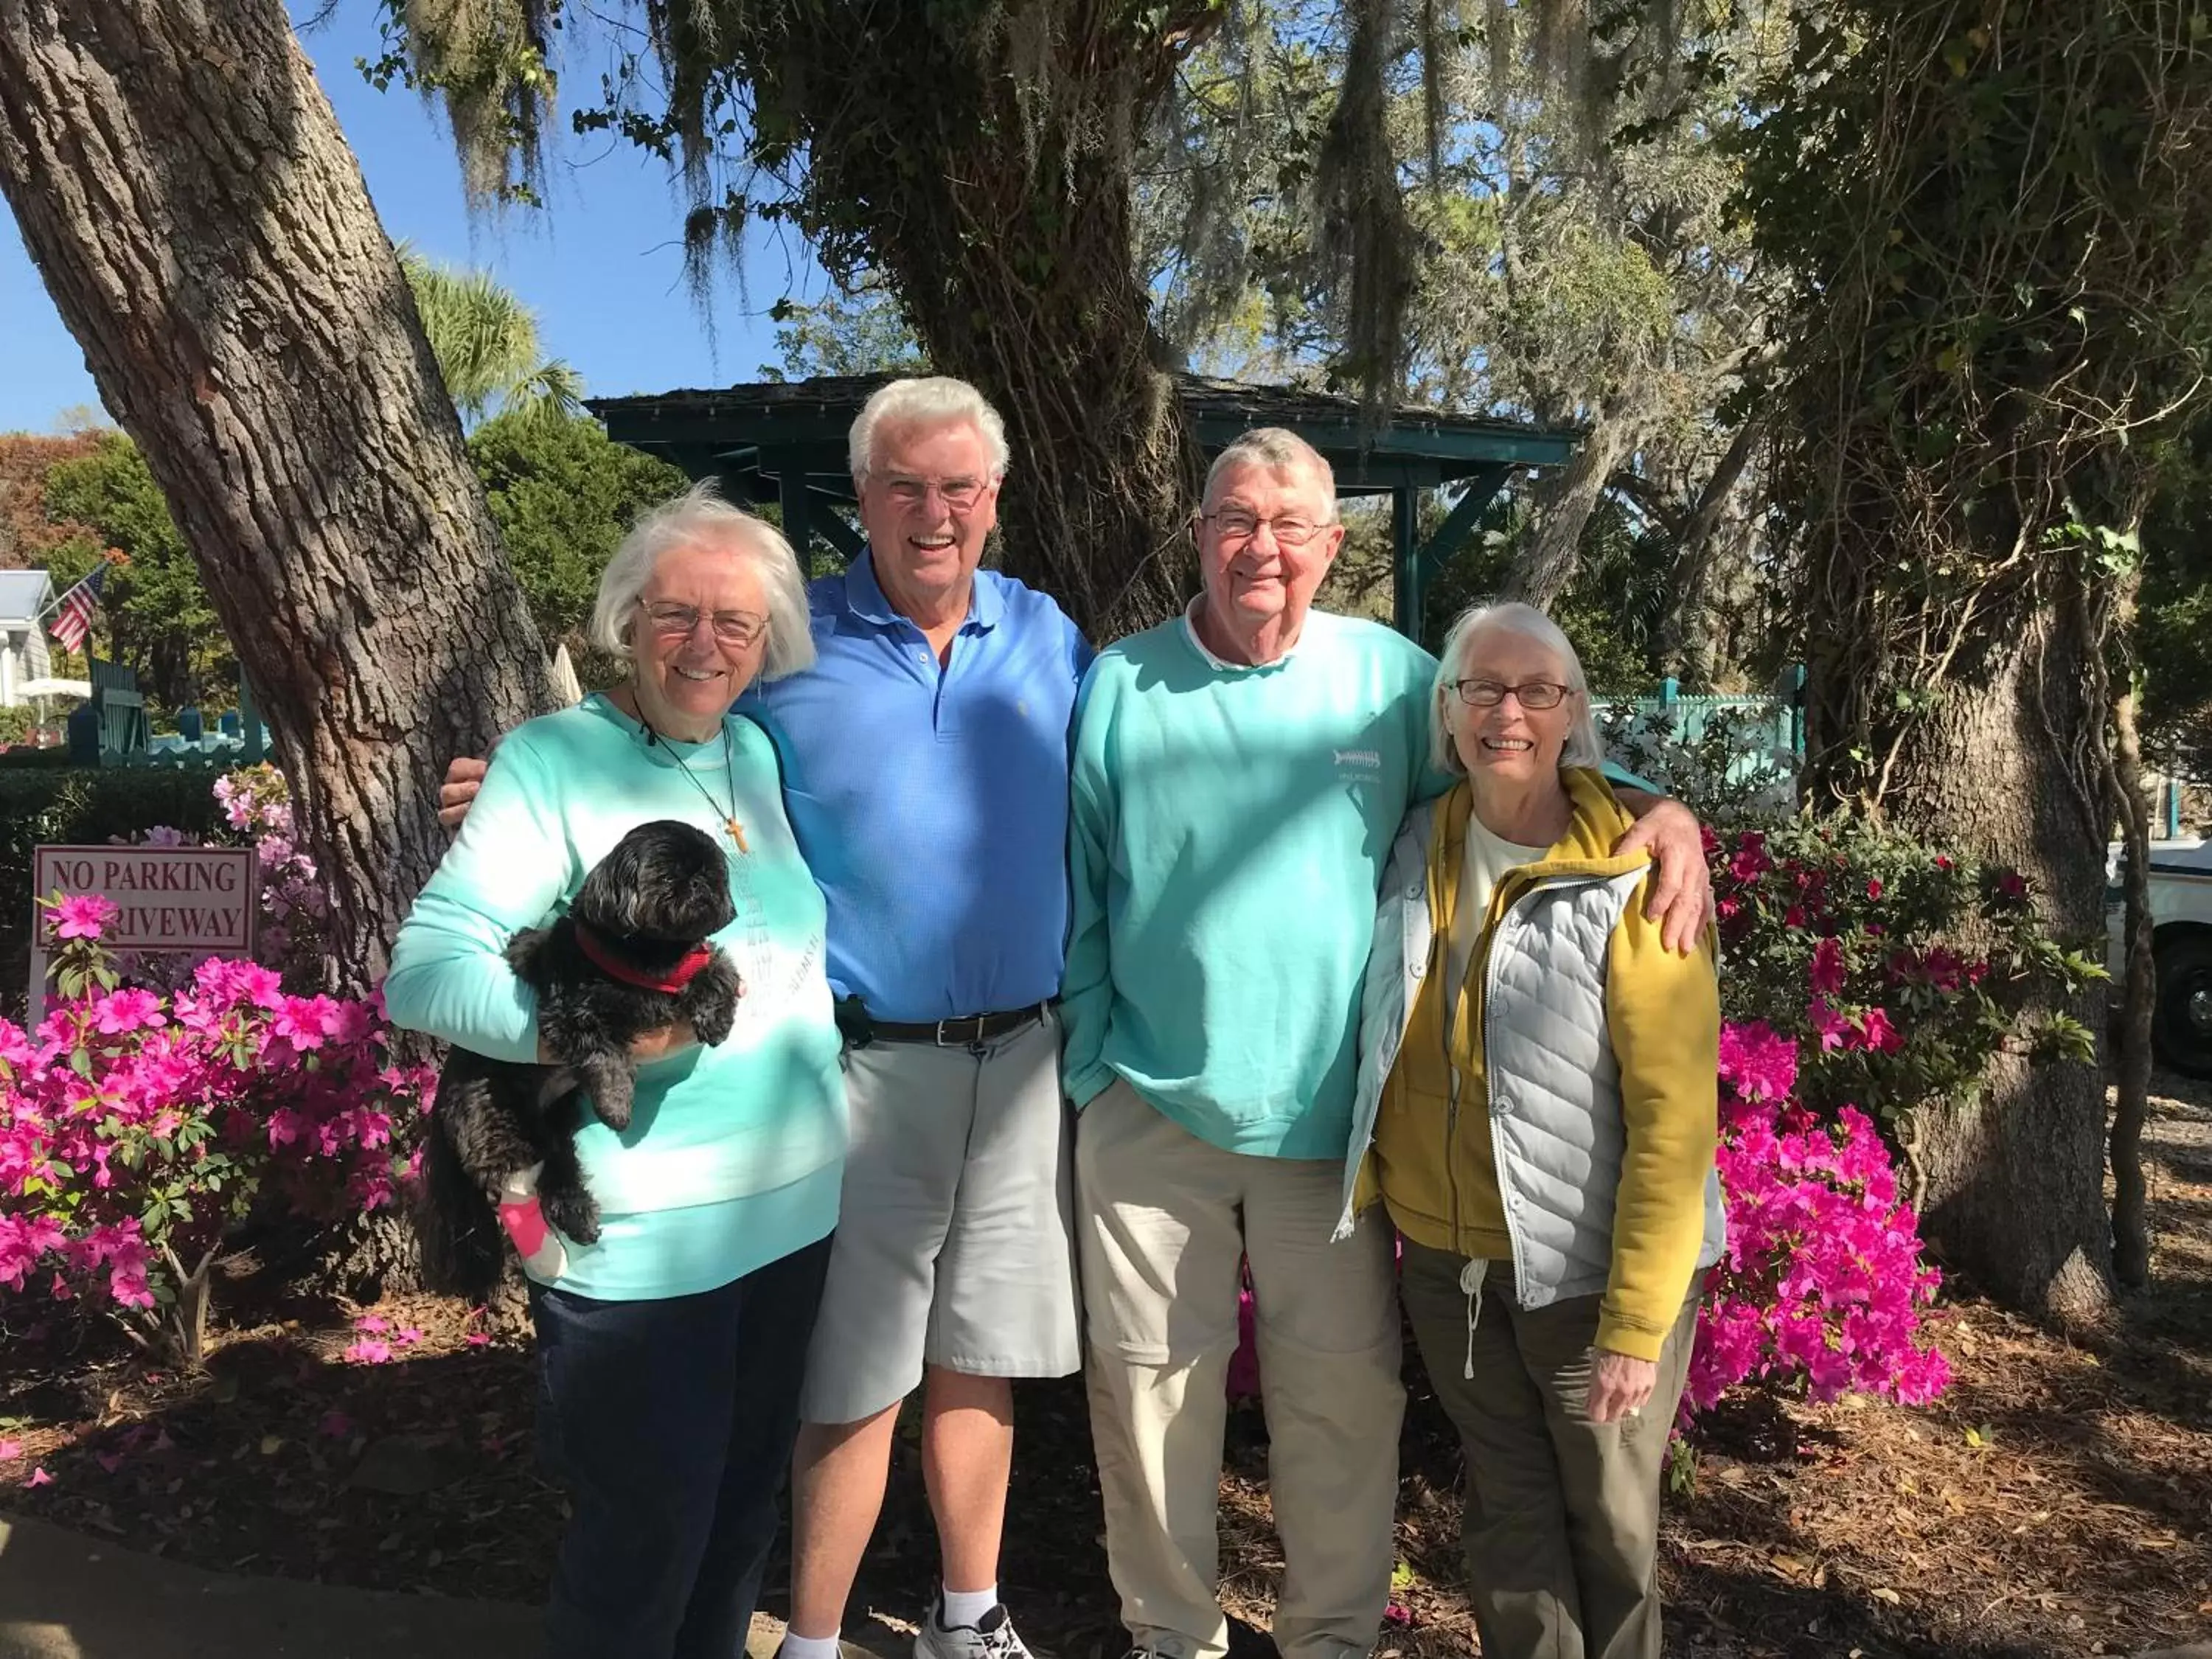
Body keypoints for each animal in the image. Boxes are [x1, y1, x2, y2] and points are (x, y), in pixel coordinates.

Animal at [418, 827, 748, 1310]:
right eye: (668, 873)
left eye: (714, 871)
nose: (700, 882)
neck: (652, 956)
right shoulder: (570, 1011)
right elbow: (604, 1054)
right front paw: (616, 1104)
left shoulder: (693, 965)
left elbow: (719, 968)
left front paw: (716, 1016)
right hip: (494, 1116)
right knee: (506, 1174)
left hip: (557, 1124)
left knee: (559, 1172)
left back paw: (575, 1215)